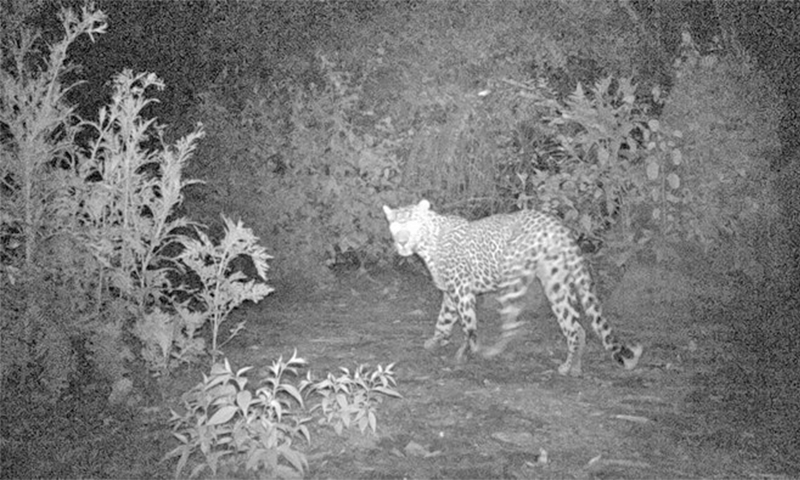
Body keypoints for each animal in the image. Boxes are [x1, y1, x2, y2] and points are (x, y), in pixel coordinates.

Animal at [383, 199, 642, 376]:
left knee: (513, 324)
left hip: (512, 278)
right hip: (556, 284)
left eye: (412, 224)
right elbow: (444, 318)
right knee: (575, 327)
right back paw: (572, 367)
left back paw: (494, 351)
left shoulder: (461, 289)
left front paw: (466, 351)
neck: (428, 243)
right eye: (394, 226)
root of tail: (556, 224)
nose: (402, 242)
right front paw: (437, 340)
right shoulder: (450, 291)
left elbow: (468, 325)